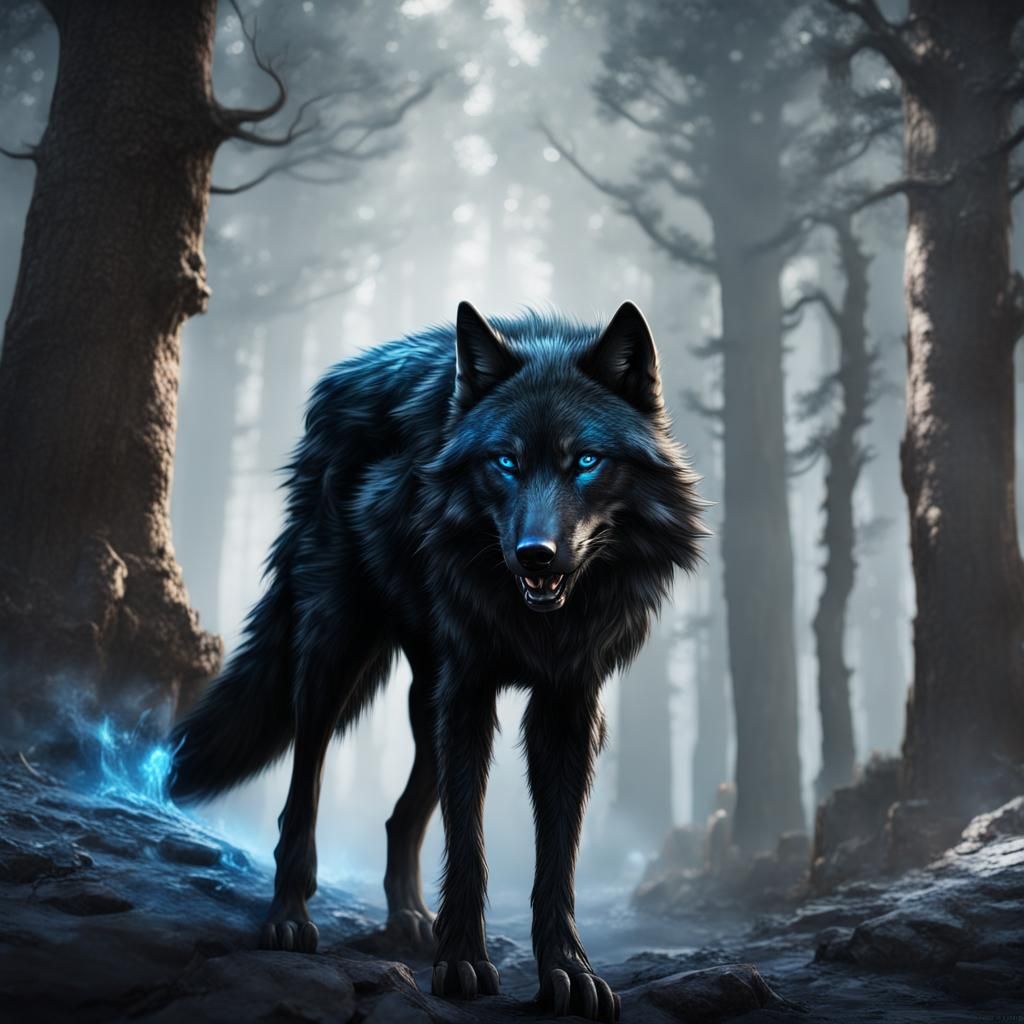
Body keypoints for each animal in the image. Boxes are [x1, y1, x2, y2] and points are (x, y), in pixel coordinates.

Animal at [169, 301, 705, 1021]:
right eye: (505, 462)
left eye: (586, 461)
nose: (536, 554)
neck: (539, 618)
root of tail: (339, 379)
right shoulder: (470, 691)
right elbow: (470, 846)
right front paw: (464, 964)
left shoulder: (566, 703)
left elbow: (557, 856)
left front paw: (567, 971)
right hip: (335, 654)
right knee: (301, 792)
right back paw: (288, 921)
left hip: (427, 698)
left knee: (402, 816)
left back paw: (410, 922)